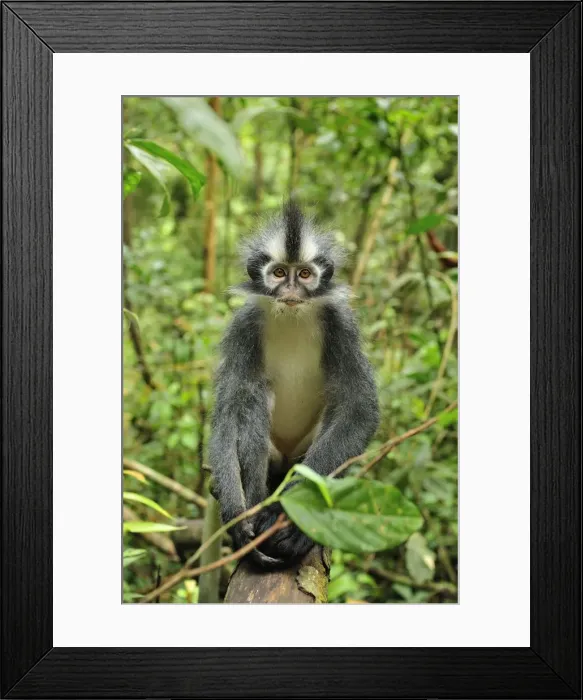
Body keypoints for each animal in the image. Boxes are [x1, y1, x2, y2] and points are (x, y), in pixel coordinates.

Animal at [209, 201, 379, 569]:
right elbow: (228, 414)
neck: (291, 317)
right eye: (278, 273)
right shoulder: (243, 327)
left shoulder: (341, 325)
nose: (290, 291)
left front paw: (284, 517)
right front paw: (235, 517)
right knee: (254, 399)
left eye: (303, 274)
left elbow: (359, 409)